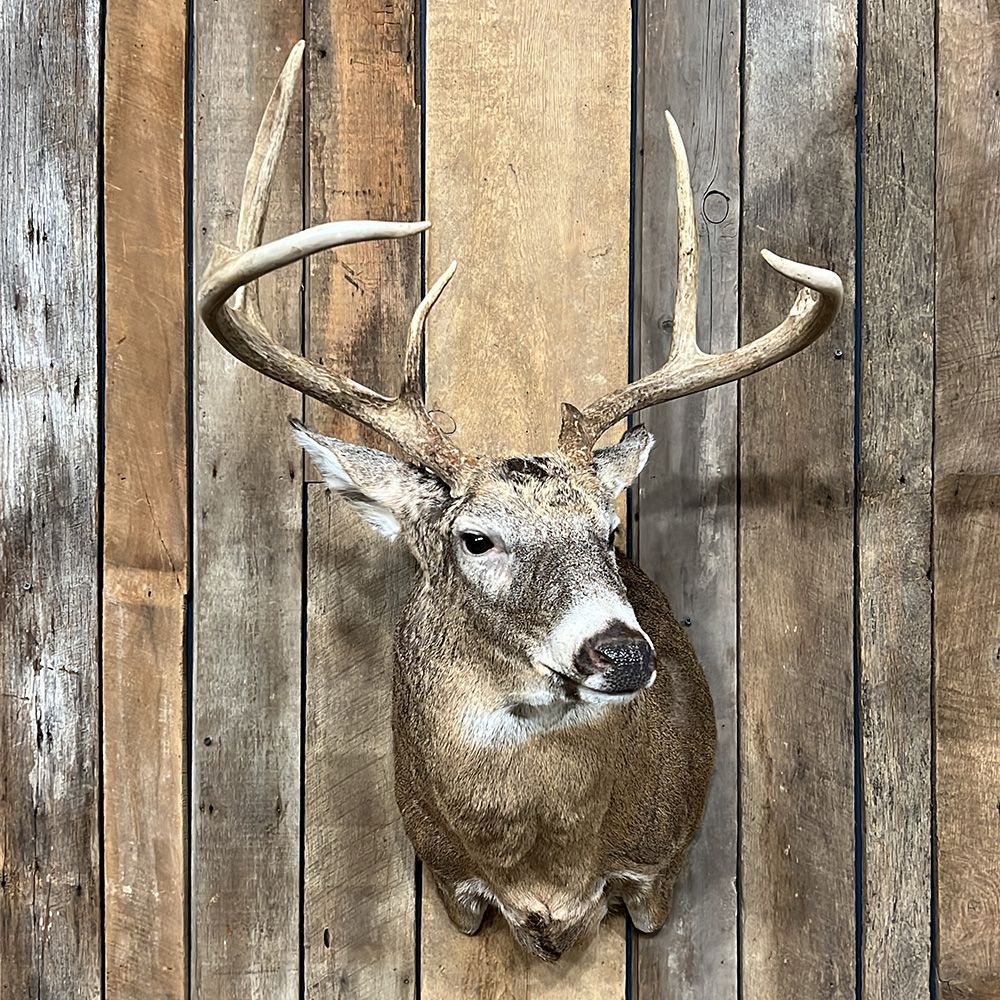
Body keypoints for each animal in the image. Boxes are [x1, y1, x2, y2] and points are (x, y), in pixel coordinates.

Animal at [199, 42, 843, 962]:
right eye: (476, 538)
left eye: (608, 530)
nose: (622, 652)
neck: (546, 874)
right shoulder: (449, 880)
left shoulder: (656, 871)